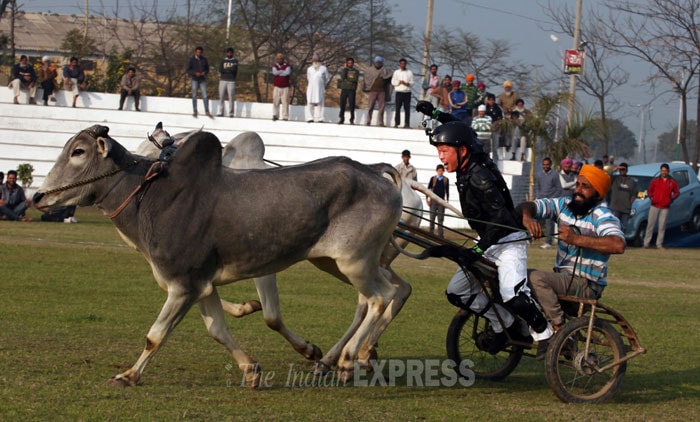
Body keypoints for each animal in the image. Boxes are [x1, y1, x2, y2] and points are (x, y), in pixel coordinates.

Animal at [34, 123, 404, 388]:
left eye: (78, 151)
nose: (38, 196)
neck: (153, 198)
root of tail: (375, 172)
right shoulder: (202, 286)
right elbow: (218, 331)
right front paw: (251, 370)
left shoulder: (183, 286)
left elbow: (155, 336)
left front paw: (128, 375)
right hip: (336, 262)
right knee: (384, 294)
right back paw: (345, 357)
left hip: (355, 262)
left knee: (381, 296)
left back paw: (349, 359)